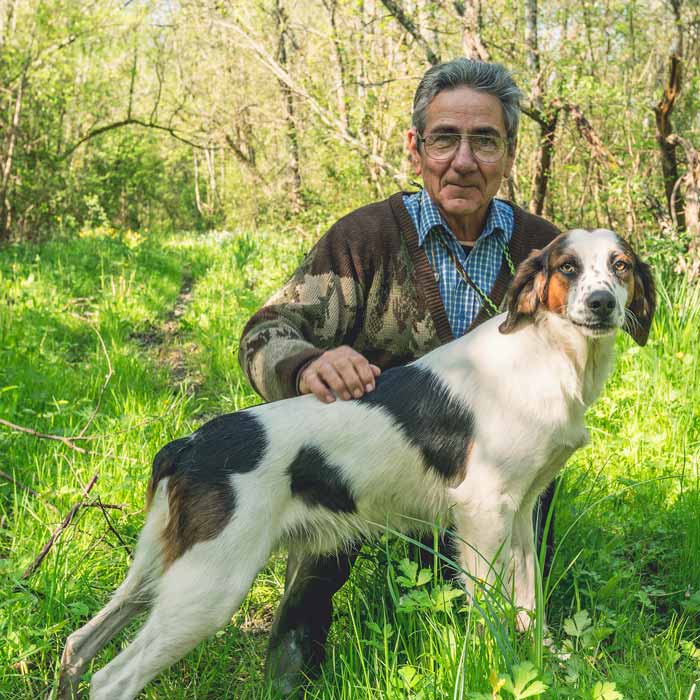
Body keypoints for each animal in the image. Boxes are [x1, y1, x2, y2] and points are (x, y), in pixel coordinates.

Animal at [57, 227, 652, 696]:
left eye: (619, 265)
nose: (602, 303)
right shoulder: (481, 512)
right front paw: (501, 671)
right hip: (209, 586)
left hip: (159, 568)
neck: (547, 355)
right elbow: (491, 618)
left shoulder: (523, 512)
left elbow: (530, 606)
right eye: (568, 267)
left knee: (77, 645)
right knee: (111, 679)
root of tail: (188, 444)